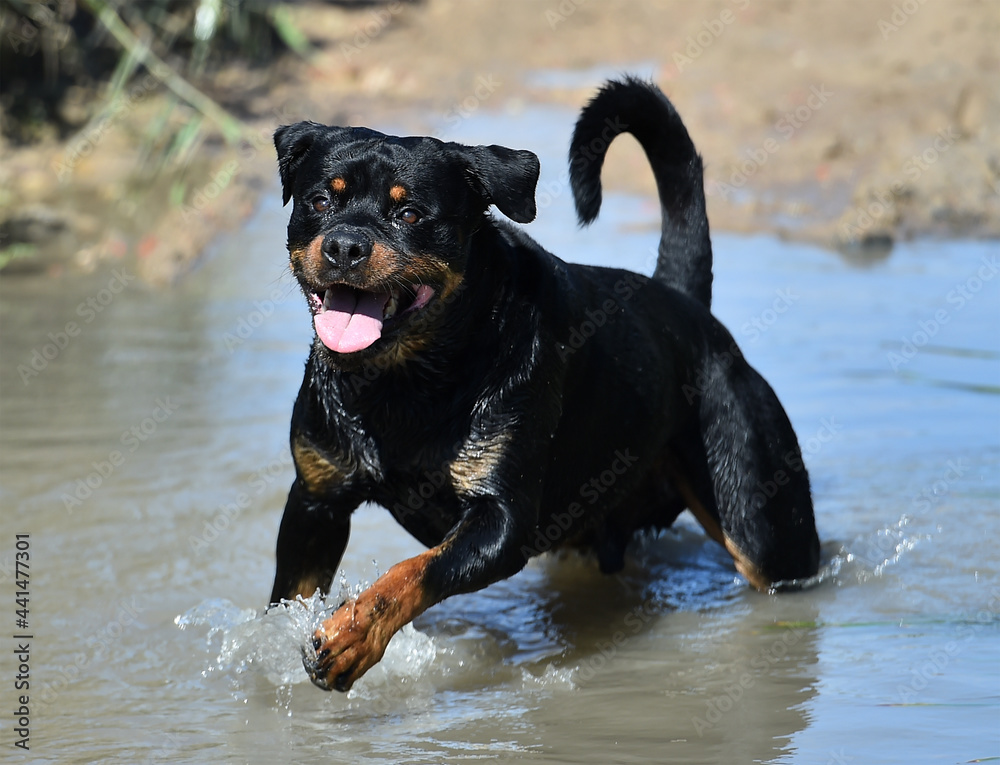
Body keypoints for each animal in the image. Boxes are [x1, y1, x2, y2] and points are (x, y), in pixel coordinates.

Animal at [268, 77, 820, 692]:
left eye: (409, 213)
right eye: (320, 201)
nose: (345, 245)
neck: (404, 380)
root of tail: (683, 304)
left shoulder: (503, 524)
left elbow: (410, 573)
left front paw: (351, 635)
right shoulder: (315, 502)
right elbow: (290, 596)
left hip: (760, 518)